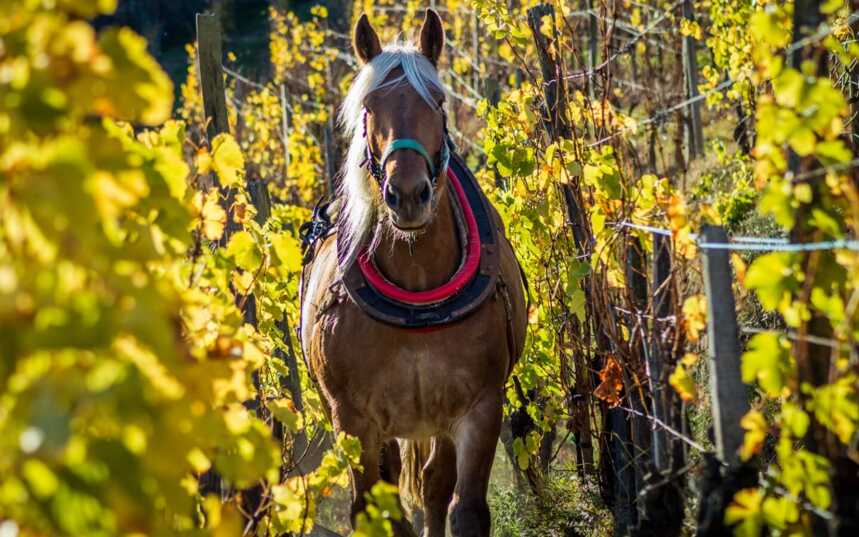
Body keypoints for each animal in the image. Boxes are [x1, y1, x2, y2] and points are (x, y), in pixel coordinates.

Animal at [302, 9, 532, 536]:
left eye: (439, 102)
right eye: (369, 106)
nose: (407, 195)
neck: (418, 296)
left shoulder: (479, 409)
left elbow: (463, 508)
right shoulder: (354, 422)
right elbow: (378, 512)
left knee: (433, 485)